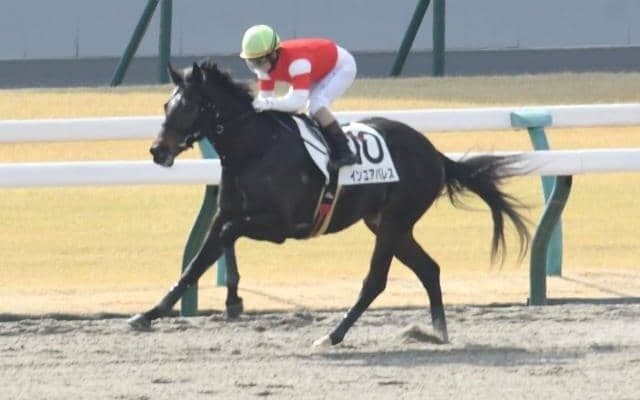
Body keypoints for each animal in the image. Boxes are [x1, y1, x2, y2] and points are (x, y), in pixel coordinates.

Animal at [128, 60, 530, 347]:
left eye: (188, 106)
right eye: (166, 104)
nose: (158, 151)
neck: (255, 149)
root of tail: (436, 154)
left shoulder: (281, 225)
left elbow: (227, 236)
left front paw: (233, 300)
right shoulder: (226, 211)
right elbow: (196, 263)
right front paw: (149, 314)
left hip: (393, 222)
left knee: (375, 281)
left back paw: (333, 335)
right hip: (387, 223)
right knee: (429, 269)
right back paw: (437, 332)